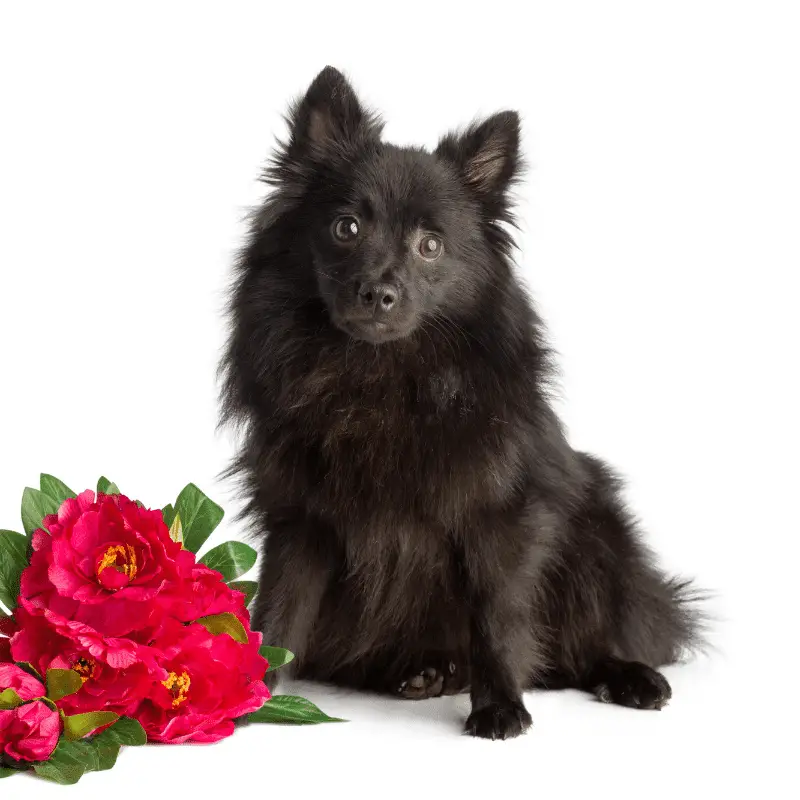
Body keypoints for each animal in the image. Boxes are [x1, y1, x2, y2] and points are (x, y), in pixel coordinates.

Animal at [222, 65, 704, 740]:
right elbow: (281, 614)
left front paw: (500, 706)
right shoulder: (301, 523)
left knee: (587, 644)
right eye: (347, 228)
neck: (378, 378)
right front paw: (253, 695)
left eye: (430, 246)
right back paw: (426, 672)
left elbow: (497, 620)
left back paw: (629, 677)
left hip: (597, 540)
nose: (379, 292)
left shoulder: (497, 520)